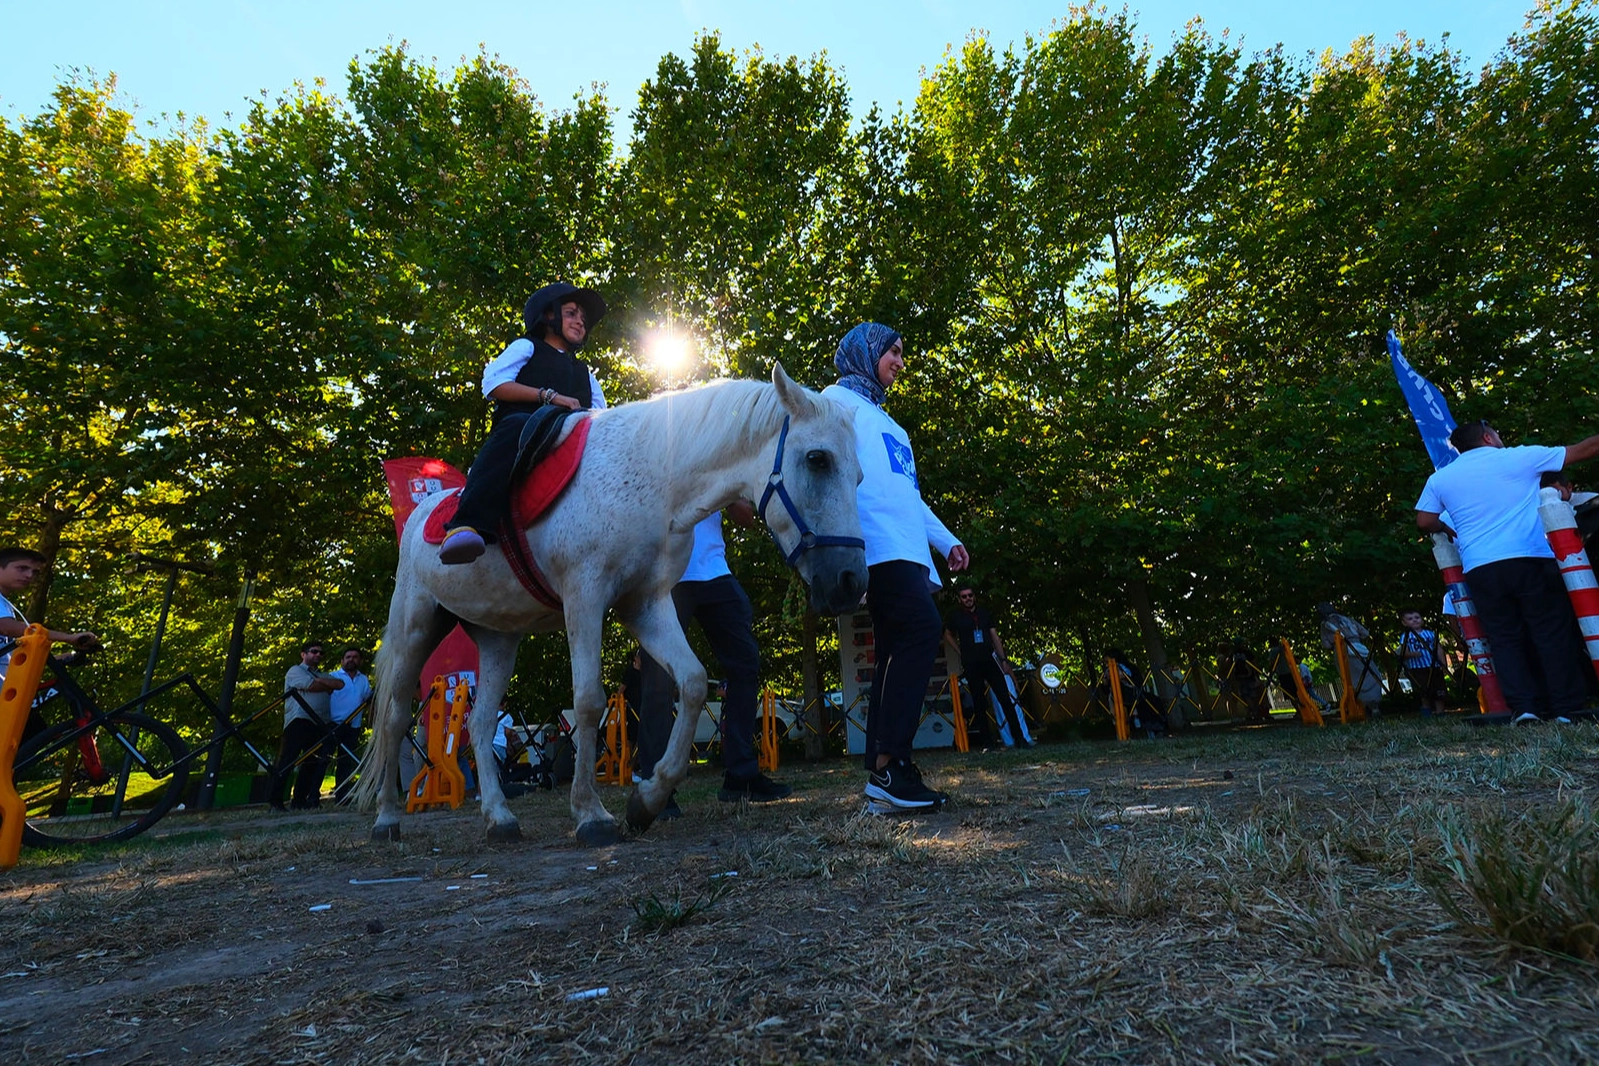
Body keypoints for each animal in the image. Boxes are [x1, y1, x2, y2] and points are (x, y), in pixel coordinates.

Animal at [355, 364, 868, 846]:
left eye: (859, 474)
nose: (851, 581)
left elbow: (693, 683)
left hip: (499, 638)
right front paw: (591, 813)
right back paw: (386, 820)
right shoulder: (584, 596)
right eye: (817, 459)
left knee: (480, 724)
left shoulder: (646, 604)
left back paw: (499, 818)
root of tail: (425, 510)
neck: (653, 479)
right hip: (417, 627)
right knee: (396, 719)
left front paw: (648, 799)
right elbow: (588, 702)